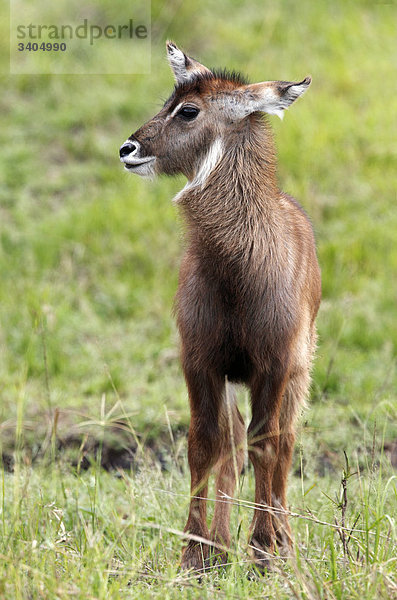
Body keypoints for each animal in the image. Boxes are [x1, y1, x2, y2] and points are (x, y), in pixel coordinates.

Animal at [119, 42, 320, 572]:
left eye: (189, 110)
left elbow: (266, 444)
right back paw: (224, 544)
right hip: (233, 377)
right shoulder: (201, 360)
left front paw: (265, 552)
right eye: (168, 100)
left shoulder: (274, 363)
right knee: (231, 448)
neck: (235, 275)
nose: (128, 149)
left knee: (283, 443)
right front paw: (196, 555)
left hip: (297, 375)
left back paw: (282, 540)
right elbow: (203, 445)